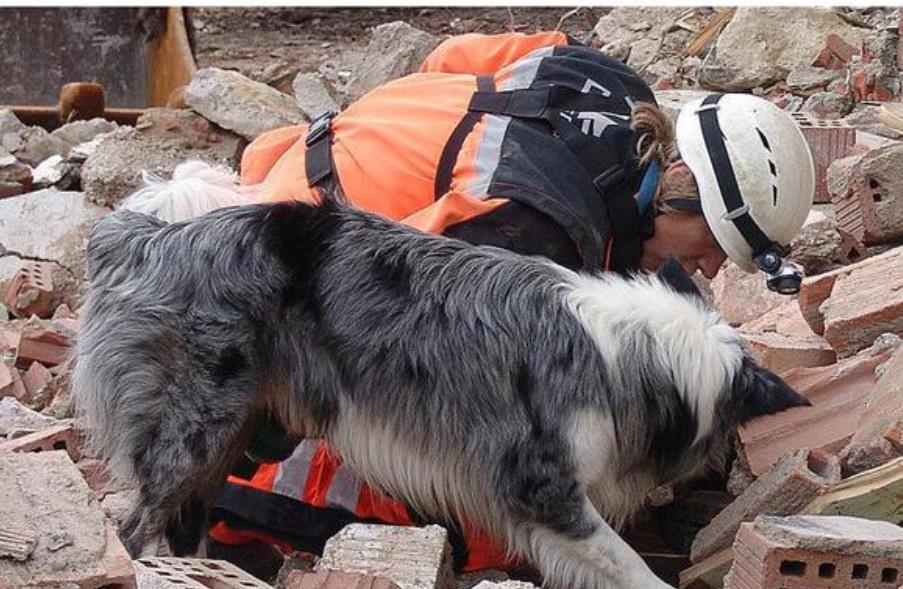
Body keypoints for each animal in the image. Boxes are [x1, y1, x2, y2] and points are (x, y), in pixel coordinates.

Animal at [74, 199, 808, 588]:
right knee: (136, 528)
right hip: (194, 430)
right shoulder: (539, 489)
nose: (723, 476)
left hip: (232, 432)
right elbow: (628, 567)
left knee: (184, 521)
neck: (634, 352)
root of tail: (143, 238)